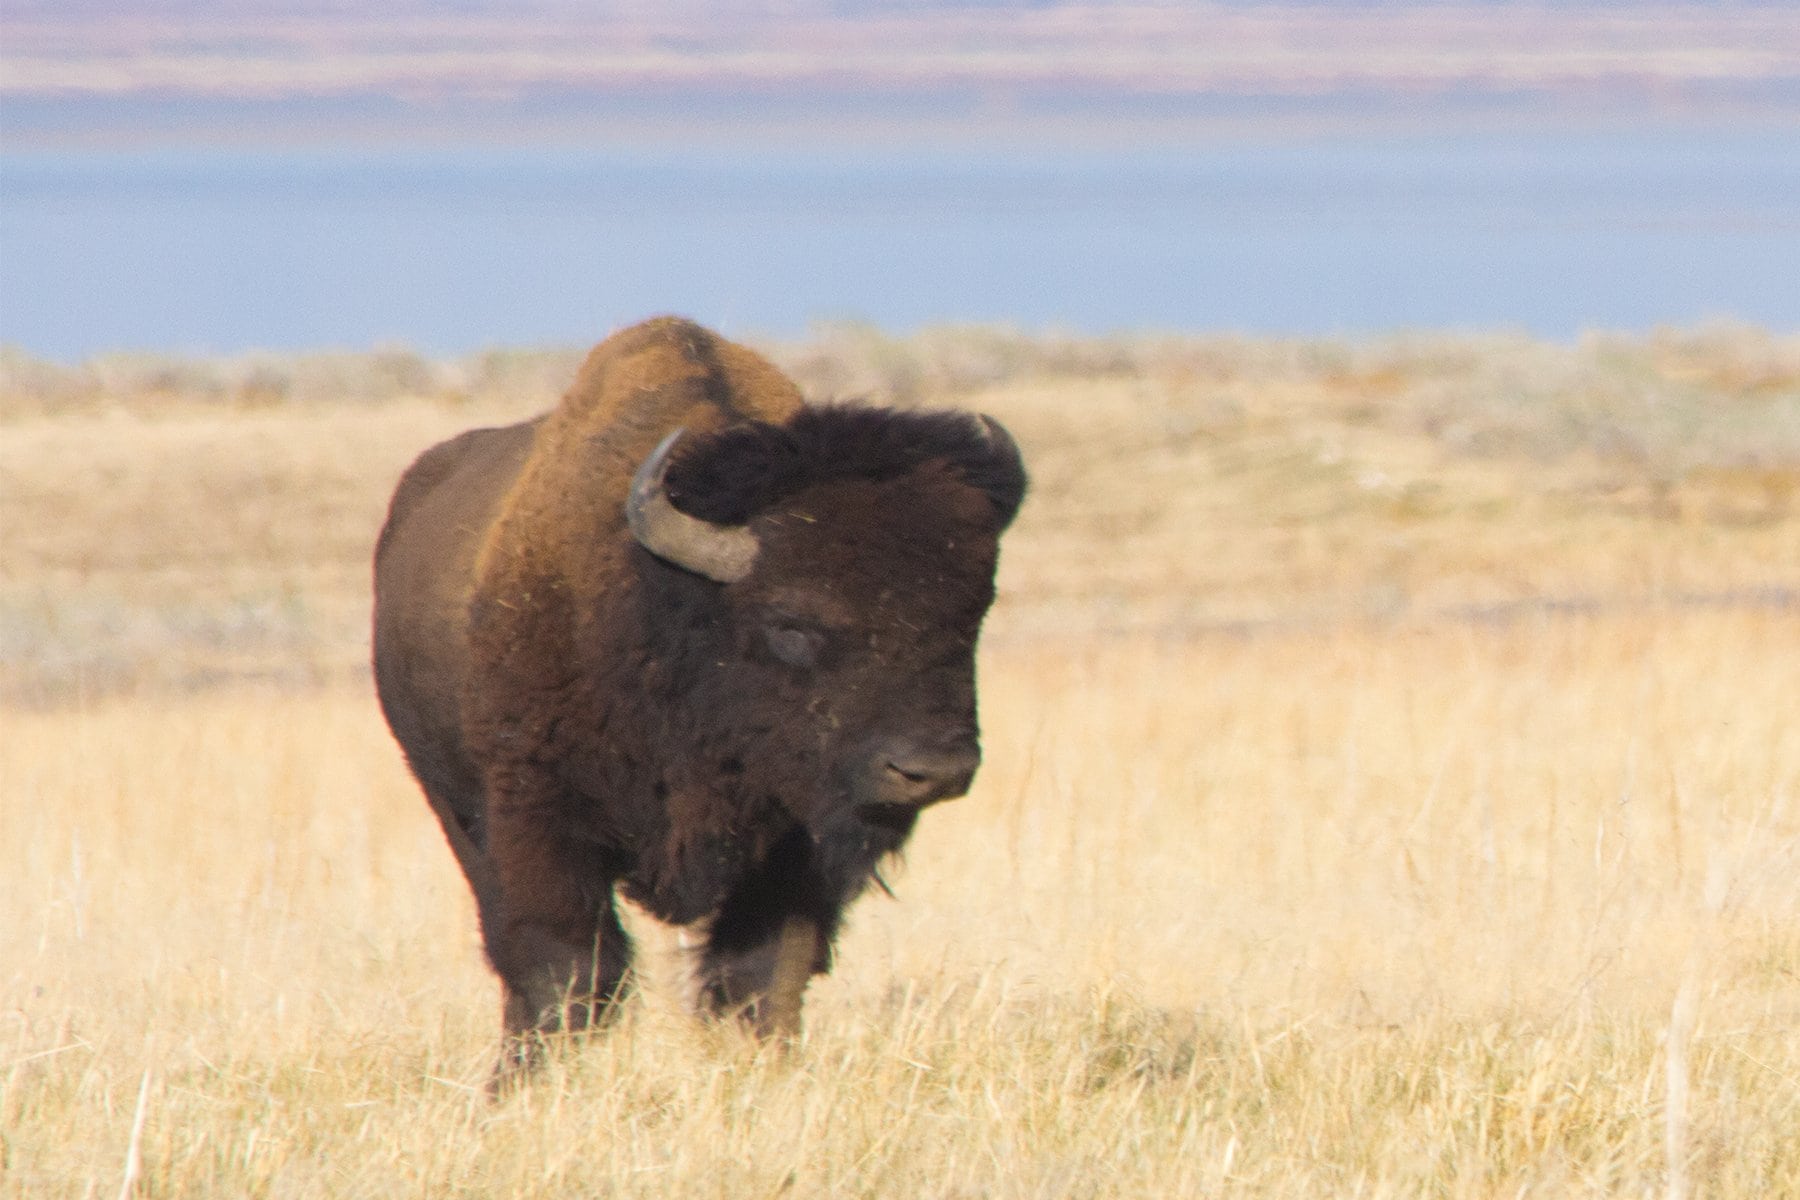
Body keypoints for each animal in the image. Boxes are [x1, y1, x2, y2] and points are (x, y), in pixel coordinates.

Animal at [372, 316, 1025, 1084]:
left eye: (974, 611)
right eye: (791, 623)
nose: (932, 770)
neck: (661, 598)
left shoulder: (794, 848)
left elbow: (766, 971)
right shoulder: (535, 815)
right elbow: (565, 966)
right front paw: (521, 1086)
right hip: (451, 800)